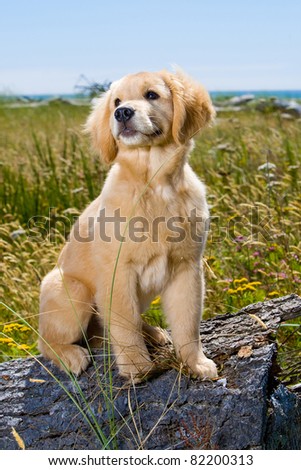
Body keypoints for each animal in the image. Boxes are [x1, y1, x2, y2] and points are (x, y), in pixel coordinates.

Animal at [38, 71, 217, 384]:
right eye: (116, 101)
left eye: (151, 95)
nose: (122, 113)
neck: (155, 185)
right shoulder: (117, 273)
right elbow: (125, 325)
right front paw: (137, 367)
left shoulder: (187, 268)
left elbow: (187, 323)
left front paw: (195, 363)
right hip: (73, 291)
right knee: (46, 340)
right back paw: (70, 356)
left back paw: (153, 333)